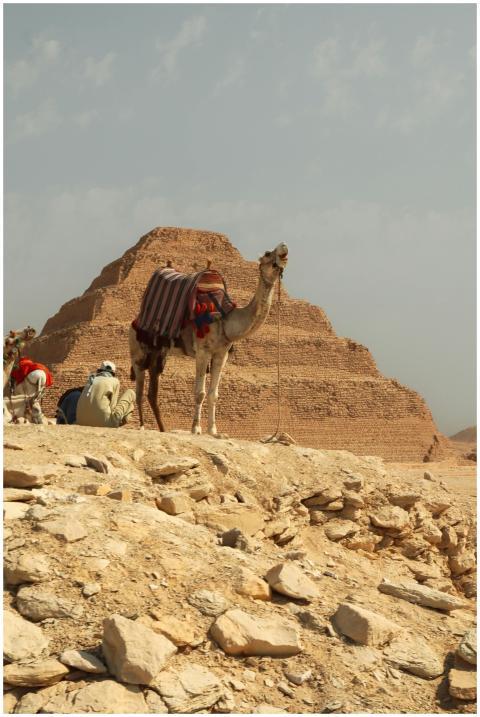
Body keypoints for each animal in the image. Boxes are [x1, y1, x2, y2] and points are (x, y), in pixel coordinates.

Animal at [129, 242, 289, 435]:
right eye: (267, 253)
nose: (284, 246)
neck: (226, 319)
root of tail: (136, 320)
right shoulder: (202, 351)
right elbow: (200, 393)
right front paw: (196, 428)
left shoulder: (222, 354)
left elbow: (214, 394)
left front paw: (213, 430)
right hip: (137, 351)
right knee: (138, 391)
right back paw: (142, 427)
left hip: (158, 353)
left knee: (152, 392)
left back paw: (162, 429)